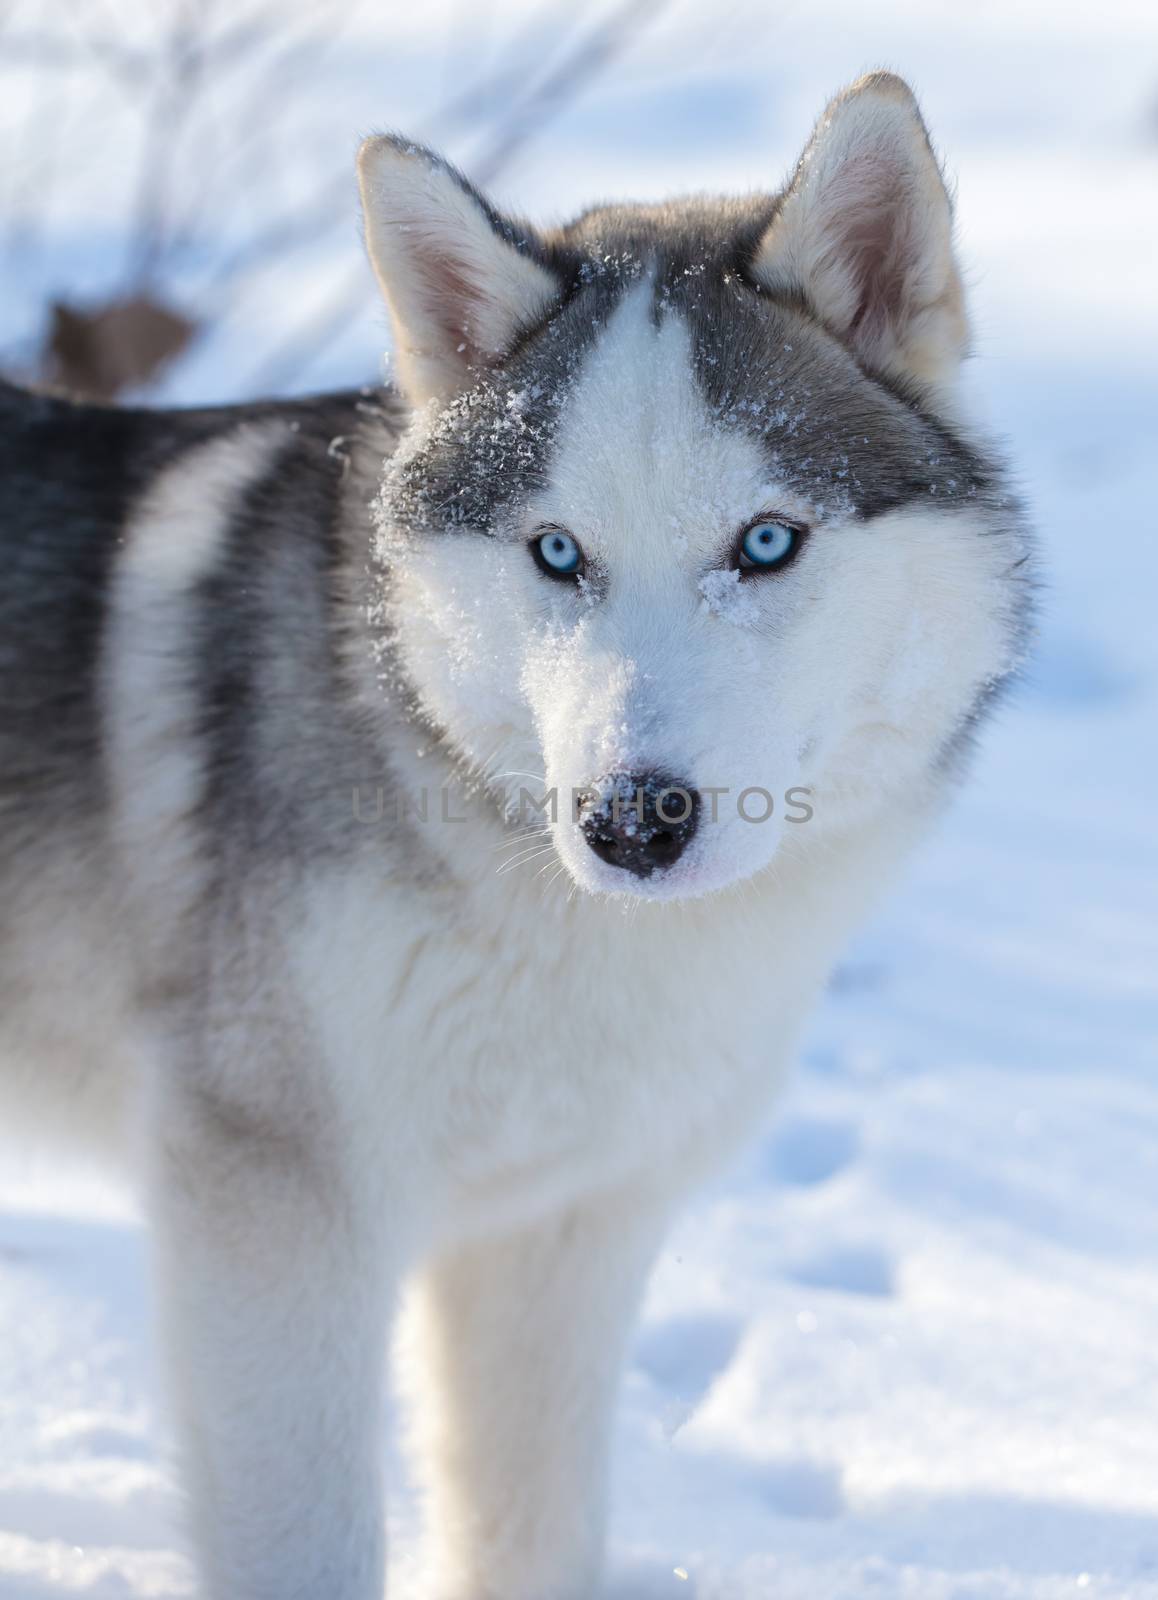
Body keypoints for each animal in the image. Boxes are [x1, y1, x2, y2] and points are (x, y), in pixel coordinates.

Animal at [0, 75, 1030, 1600]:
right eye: (556, 554)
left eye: (765, 543)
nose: (631, 823)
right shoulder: (274, 1223)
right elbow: (308, 1543)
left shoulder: (558, 1238)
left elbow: (530, 1531)